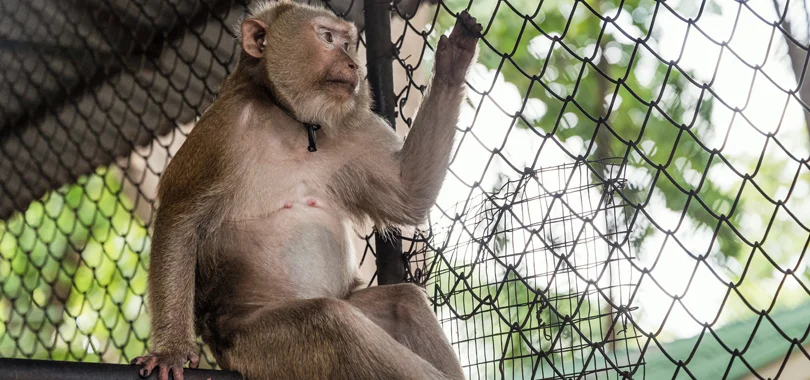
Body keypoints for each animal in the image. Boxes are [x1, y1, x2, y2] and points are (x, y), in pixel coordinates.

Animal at [129, 1, 476, 378]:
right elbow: (180, 217)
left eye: (347, 43)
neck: (291, 121)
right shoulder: (223, 130)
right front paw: (172, 352)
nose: (354, 65)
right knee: (330, 321)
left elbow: (407, 194)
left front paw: (453, 64)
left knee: (403, 303)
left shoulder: (352, 129)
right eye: (327, 38)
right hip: (257, 346)